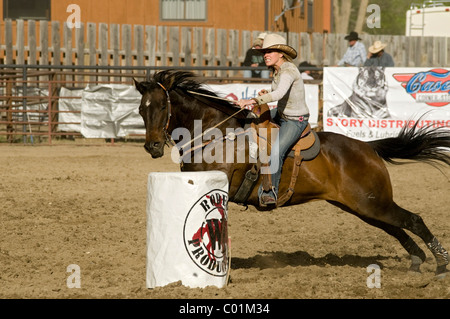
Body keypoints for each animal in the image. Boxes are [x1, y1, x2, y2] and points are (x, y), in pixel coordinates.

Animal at [134, 70, 450, 278]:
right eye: (140, 109)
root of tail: (368, 148)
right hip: (364, 207)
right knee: (396, 227)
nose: (152, 146)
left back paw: (440, 264)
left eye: (162, 105)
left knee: (413, 219)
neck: (217, 134)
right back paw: (417, 261)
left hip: (372, 203)